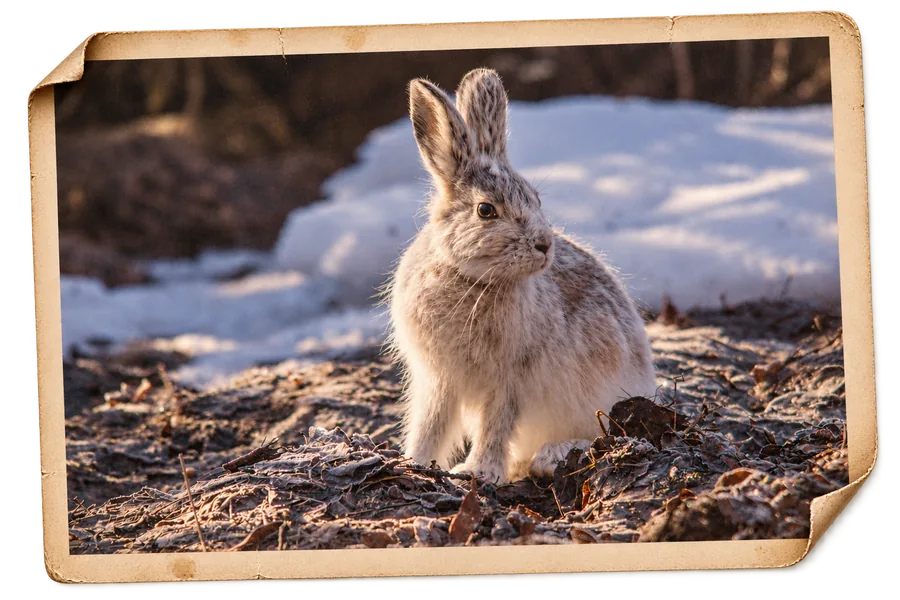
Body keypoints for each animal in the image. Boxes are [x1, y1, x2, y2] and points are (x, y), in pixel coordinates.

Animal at [384, 68, 657, 486]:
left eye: (536, 199)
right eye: (485, 210)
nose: (545, 245)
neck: (471, 280)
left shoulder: (509, 379)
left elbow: (495, 424)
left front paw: (478, 472)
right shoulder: (437, 380)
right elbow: (431, 424)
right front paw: (412, 461)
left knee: (603, 432)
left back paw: (551, 456)